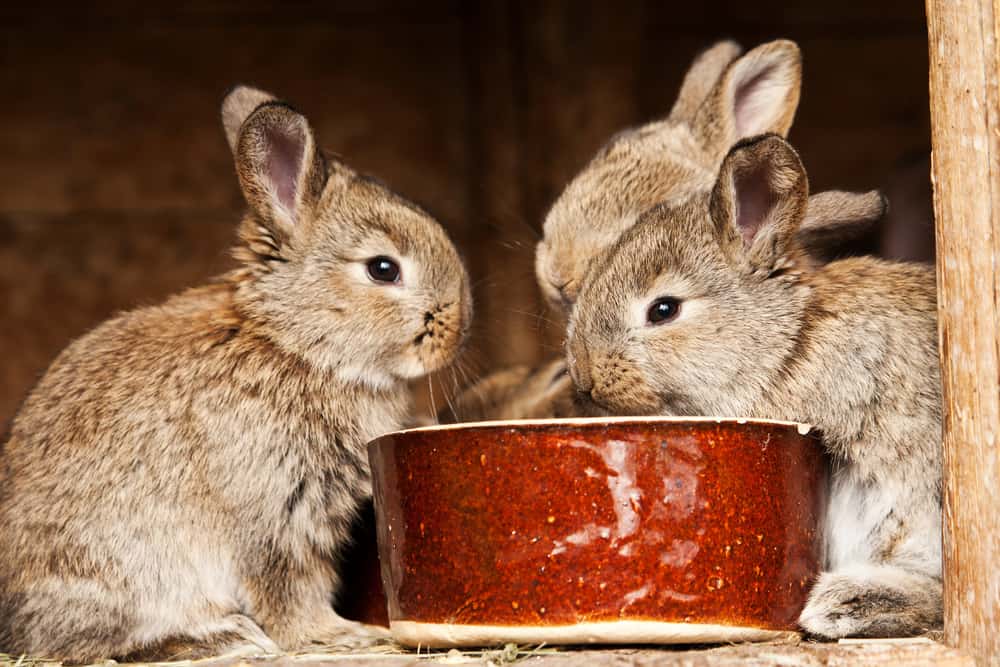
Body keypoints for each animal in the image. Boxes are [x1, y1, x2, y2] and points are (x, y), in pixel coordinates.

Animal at [0, 85, 472, 664]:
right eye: (383, 269)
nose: (459, 327)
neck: (295, 342)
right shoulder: (278, 514)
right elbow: (289, 589)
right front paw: (340, 634)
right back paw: (224, 635)